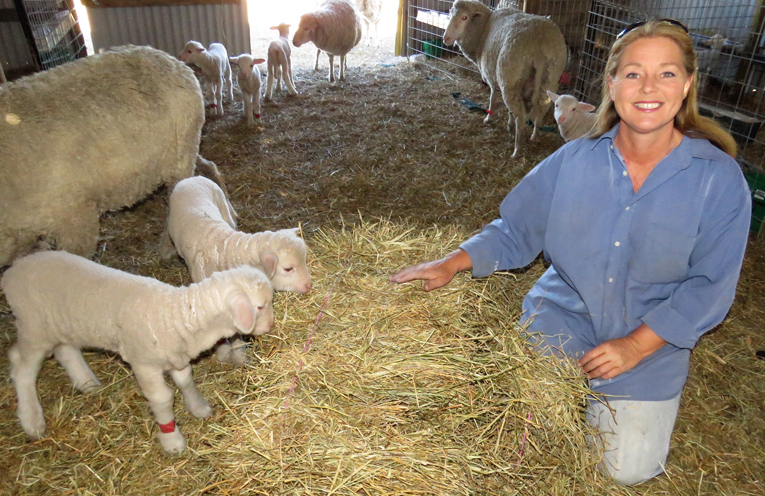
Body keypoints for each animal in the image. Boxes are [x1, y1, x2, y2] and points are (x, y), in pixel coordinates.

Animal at [2, 252, 274, 454]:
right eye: (260, 307)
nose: (270, 327)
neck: (176, 314)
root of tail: (13, 270)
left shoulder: (175, 356)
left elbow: (185, 380)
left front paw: (198, 407)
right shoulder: (144, 364)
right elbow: (162, 398)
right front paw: (172, 440)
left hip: (60, 325)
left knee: (65, 350)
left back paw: (87, 383)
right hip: (34, 327)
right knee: (21, 368)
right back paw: (32, 420)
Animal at [442, 0, 568, 158]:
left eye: (464, 17)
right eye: (451, 13)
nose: (445, 38)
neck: (483, 29)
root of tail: (537, 45)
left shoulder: (492, 77)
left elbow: (492, 98)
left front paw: (489, 118)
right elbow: (508, 109)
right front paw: (509, 124)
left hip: (510, 78)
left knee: (521, 117)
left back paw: (517, 150)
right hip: (549, 77)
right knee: (542, 108)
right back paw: (534, 136)